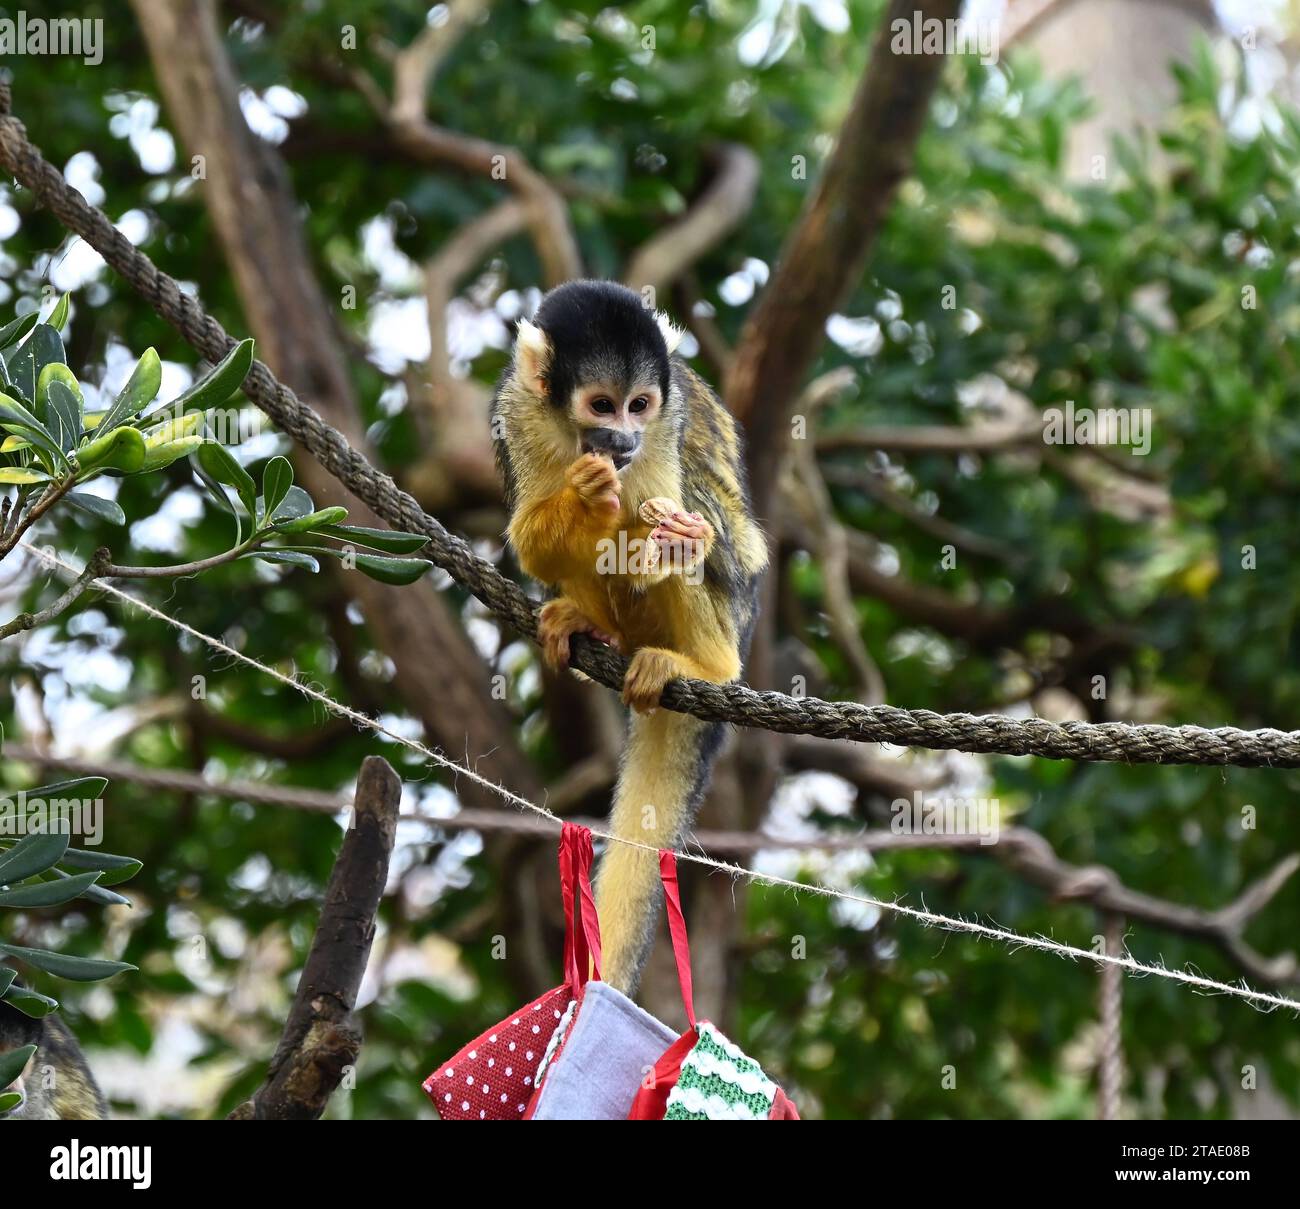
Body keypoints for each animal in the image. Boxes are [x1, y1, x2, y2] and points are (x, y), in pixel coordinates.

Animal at [491, 283, 764, 987]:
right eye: (602, 405)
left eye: (639, 405)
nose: (622, 438)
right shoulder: (519, 411)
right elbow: (534, 542)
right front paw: (586, 494)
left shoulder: (667, 426)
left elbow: (693, 531)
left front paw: (671, 537)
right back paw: (590, 624)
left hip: (730, 615)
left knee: (708, 526)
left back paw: (705, 663)